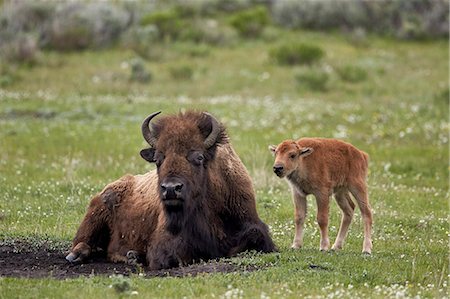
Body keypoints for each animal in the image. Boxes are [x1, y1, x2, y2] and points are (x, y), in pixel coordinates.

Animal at [65, 111, 276, 270]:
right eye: (158, 159)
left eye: (199, 157)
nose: (171, 189)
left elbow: (253, 237)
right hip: (95, 214)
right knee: (83, 242)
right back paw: (79, 256)